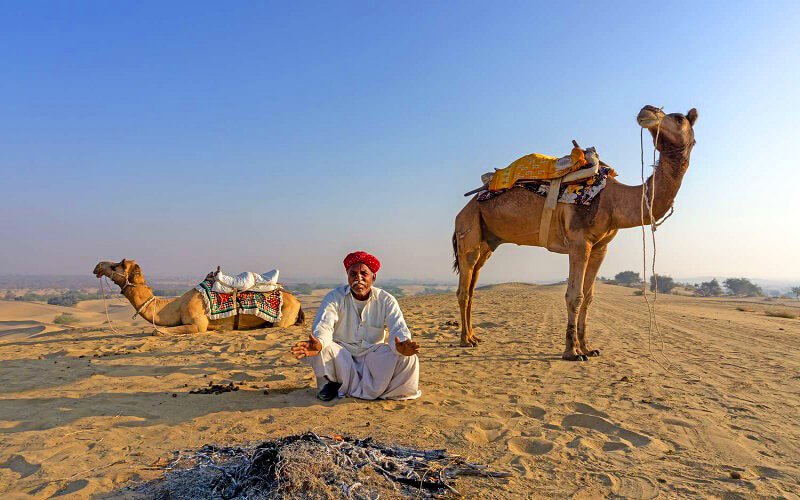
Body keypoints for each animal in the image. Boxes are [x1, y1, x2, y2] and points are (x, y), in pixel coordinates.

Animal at [93, 259, 304, 332]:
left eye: (117, 265)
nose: (98, 266)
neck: (177, 305)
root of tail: (297, 300)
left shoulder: (198, 323)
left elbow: (157, 331)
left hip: (283, 317)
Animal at [452, 105, 697, 360]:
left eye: (678, 119)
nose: (646, 110)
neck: (614, 201)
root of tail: (465, 207)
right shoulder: (579, 242)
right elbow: (574, 296)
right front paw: (572, 351)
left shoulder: (600, 247)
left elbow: (588, 298)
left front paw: (588, 347)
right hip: (467, 229)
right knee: (464, 288)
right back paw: (465, 340)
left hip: (487, 241)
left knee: (472, 284)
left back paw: (473, 336)